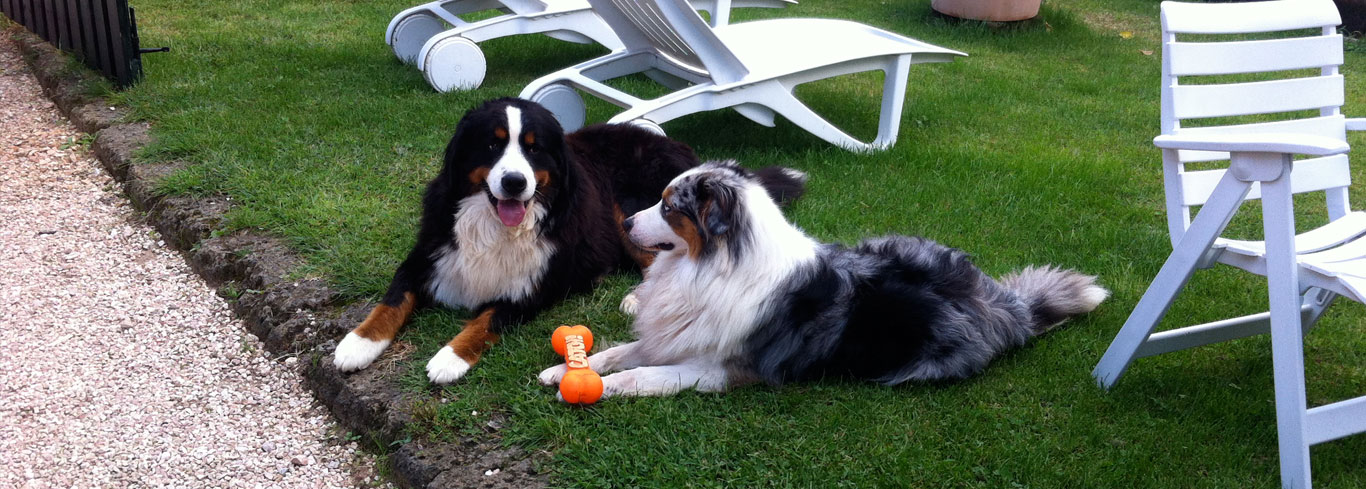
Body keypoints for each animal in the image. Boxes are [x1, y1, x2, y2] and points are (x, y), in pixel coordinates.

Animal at [325, 98, 737, 382]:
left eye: (534, 148)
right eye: (492, 145)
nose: (514, 182)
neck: (493, 226)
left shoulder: (535, 284)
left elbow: (488, 318)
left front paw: (449, 358)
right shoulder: (428, 255)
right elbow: (393, 299)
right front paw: (358, 343)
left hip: (633, 210)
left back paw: (639, 297)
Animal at [538, 162, 1103, 398]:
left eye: (670, 207)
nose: (627, 223)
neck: (714, 266)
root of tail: (1006, 306)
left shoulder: (728, 369)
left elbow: (645, 375)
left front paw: (599, 386)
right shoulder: (678, 332)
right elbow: (624, 351)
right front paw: (563, 369)